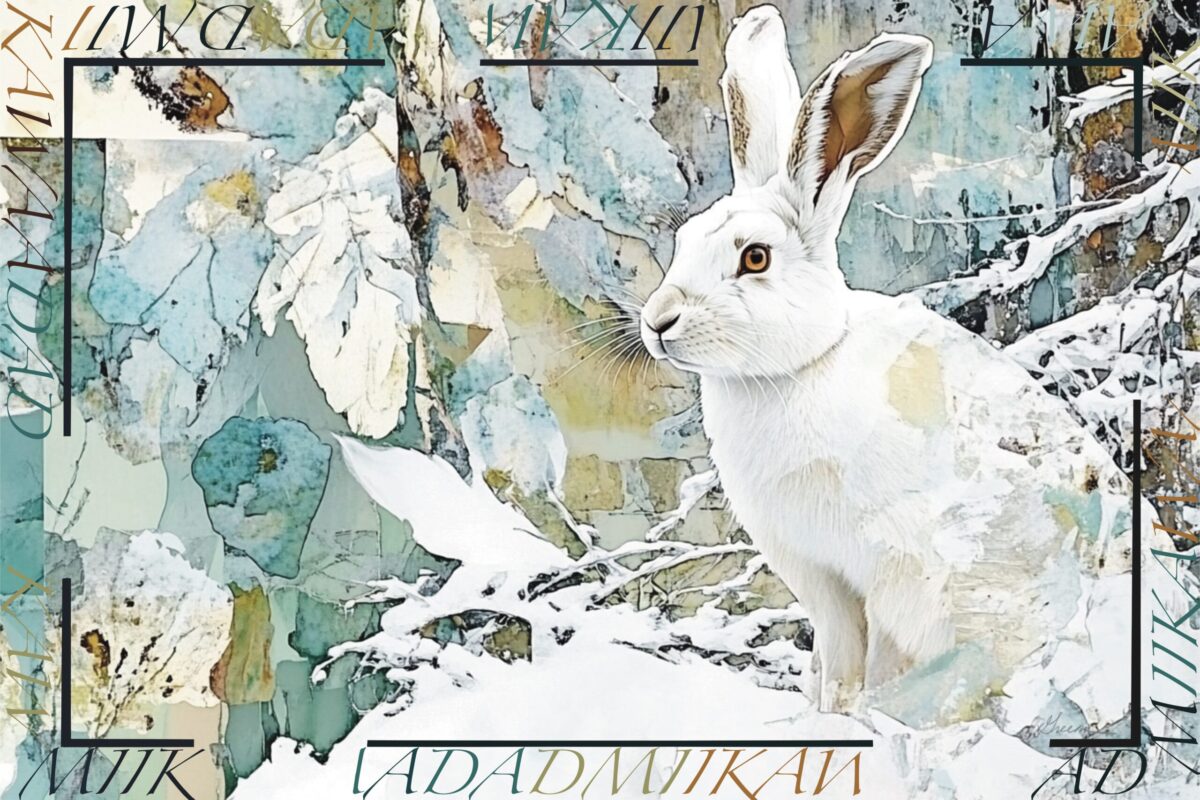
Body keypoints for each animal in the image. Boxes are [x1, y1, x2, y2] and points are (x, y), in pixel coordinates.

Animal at [639, 4, 1148, 730]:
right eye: (683, 241)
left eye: (755, 257)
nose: (659, 321)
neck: (802, 363)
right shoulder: (815, 572)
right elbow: (832, 652)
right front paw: (820, 712)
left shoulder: (880, 568)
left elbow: (867, 655)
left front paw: (851, 720)